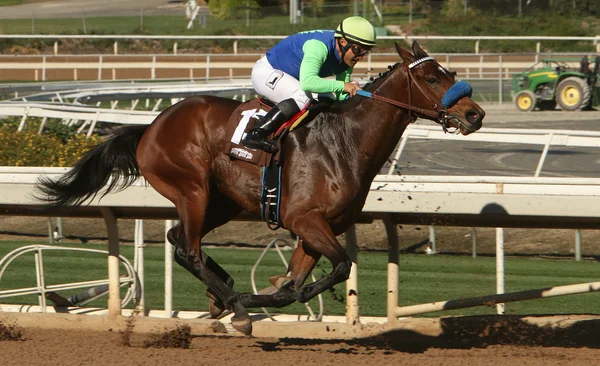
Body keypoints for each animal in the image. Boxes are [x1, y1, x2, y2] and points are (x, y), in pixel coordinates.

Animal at [35, 41, 486, 336]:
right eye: (432, 77)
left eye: (451, 73)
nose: (475, 114)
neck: (344, 141)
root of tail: (151, 127)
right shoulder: (304, 220)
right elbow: (338, 267)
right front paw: (247, 305)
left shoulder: (318, 229)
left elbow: (296, 285)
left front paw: (262, 293)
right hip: (193, 190)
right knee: (188, 248)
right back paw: (233, 304)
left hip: (223, 203)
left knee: (179, 238)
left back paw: (224, 293)